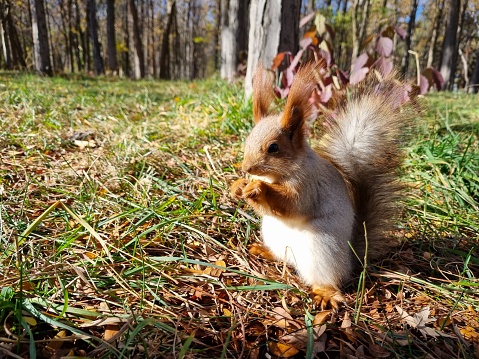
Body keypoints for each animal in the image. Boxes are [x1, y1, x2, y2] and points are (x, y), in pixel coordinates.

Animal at [231, 62, 410, 310]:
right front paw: (238, 186)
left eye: (273, 148)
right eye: (248, 140)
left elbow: (293, 205)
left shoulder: (308, 185)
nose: (247, 167)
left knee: (326, 279)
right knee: (283, 257)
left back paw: (325, 293)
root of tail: (350, 259)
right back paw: (264, 251)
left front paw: (259, 188)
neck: (277, 176)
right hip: (273, 235)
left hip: (321, 252)